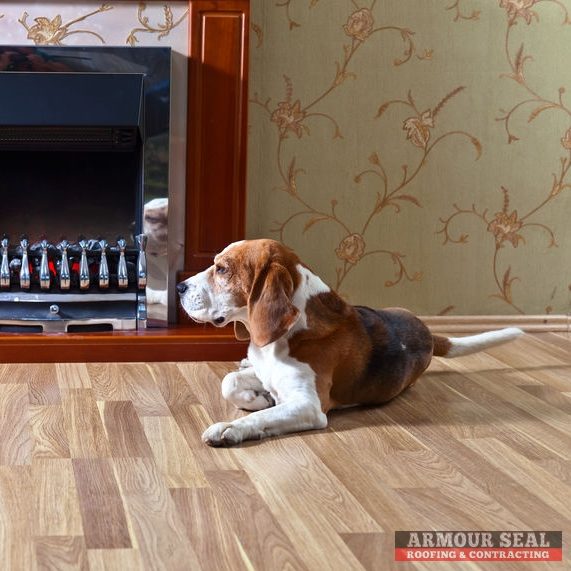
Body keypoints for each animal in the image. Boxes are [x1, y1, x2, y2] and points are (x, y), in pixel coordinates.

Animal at [178, 239, 524, 450]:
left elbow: (259, 418)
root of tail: (427, 333)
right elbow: (229, 381)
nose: (179, 286)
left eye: (222, 269)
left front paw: (229, 428)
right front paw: (256, 397)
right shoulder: (265, 372)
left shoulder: (309, 406)